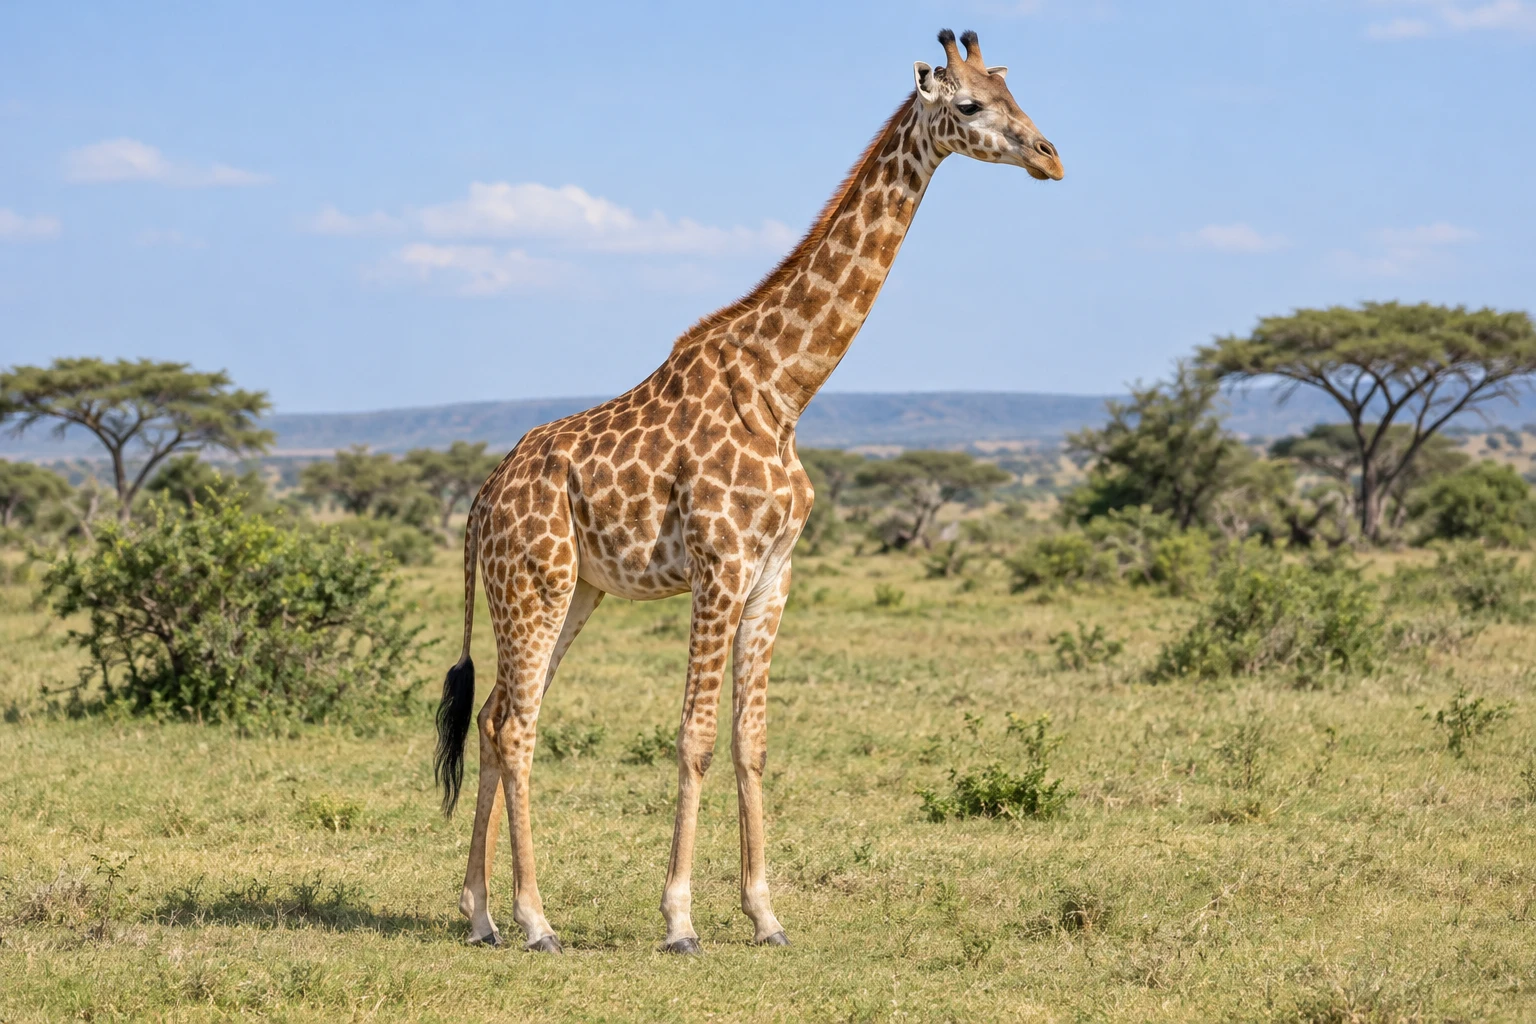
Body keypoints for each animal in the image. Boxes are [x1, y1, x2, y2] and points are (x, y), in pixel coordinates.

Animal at [433, 28, 1063, 954]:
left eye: (1017, 95)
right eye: (972, 104)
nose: (1051, 157)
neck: (784, 386)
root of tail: (481, 501)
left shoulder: (774, 575)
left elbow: (751, 740)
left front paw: (766, 915)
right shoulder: (720, 566)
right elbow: (694, 738)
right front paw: (679, 919)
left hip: (572, 590)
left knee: (492, 719)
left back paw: (480, 914)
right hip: (534, 584)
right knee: (515, 726)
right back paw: (534, 919)